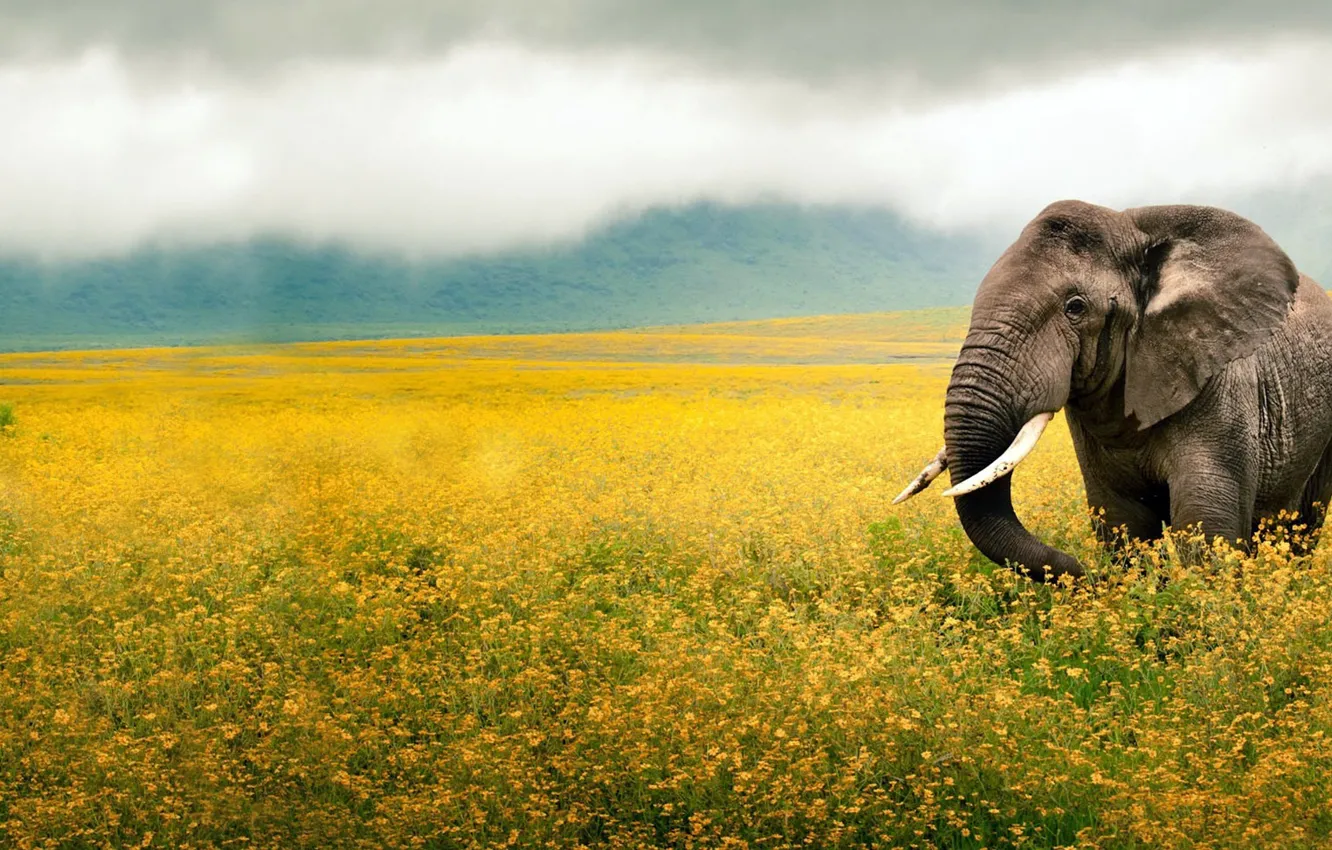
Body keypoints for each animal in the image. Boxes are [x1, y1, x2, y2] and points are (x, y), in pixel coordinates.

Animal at [894, 200, 1332, 581]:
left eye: (1075, 307)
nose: (1086, 573)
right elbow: (1124, 521)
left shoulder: (1222, 383)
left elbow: (1204, 523)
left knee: (1300, 523)